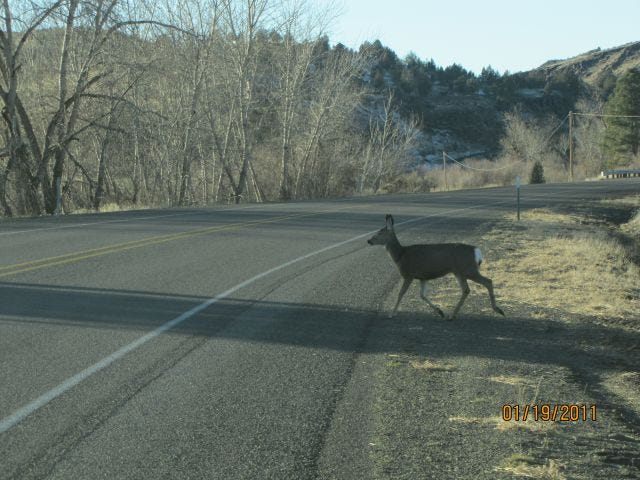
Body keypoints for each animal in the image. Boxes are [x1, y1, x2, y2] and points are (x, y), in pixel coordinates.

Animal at [367, 214, 505, 320]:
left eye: (379, 233)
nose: (369, 241)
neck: (401, 255)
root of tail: (476, 251)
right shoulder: (422, 277)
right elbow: (422, 295)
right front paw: (440, 312)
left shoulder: (409, 274)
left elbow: (401, 293)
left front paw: (391, 314)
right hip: (460, 272)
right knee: (467, 289)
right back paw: (452, 315)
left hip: (467, 269)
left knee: (487, 281)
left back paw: (497, 309)